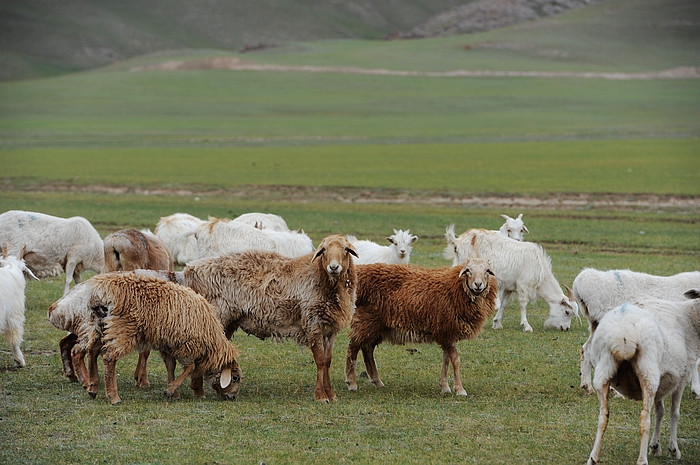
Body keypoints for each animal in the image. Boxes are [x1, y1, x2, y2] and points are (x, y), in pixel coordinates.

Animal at [71, 272, 241, 402]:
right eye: (235, 378)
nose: (232, 397)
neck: (212, 338)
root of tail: (100, 291)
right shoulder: (187, 345)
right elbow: (190, 367)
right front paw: (170, 390)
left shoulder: (169, 344)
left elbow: (171, 366)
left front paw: (173, 393)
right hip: (122, 328)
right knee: (108, 358)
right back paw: (113, 396)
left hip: (98, 325)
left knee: (92, 350)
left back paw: (93, 387)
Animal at [183, 234, 358, 400]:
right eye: (324, 250)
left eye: (345, 249)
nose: (333, 267)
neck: (320, 278)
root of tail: (191, 269)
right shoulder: (312, 323)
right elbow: (320, 361)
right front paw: (321, 395)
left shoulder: (330, 330)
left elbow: (327, 362)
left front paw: (331, 394)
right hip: (213, 318)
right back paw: (198, 391)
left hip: (228, 322)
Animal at [344, 258, 498, 396]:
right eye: (468, 271)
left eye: (487, 271)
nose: (478, 285)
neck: (456, 288)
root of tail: (360, 276)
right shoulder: (446, 330)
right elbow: (455, 360)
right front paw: (459, 389)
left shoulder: (446, 332)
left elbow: (446, 359)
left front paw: (445, 386)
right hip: (366, 320)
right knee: (353, 347)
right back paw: (352, 383)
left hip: (377, 326)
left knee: (367, 349)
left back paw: (377, 381)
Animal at [584, 290, 700, 464]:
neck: (692, 318)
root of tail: (623, 335)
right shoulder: (683, 376)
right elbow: (674, 412)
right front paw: (673, 450)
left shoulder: (663, 381)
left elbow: (660, 411)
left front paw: (655, 446)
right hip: (648, 370)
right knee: (644, 418)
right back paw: (642, 459)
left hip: (603, 369)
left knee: (603, 416)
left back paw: (593, 457)